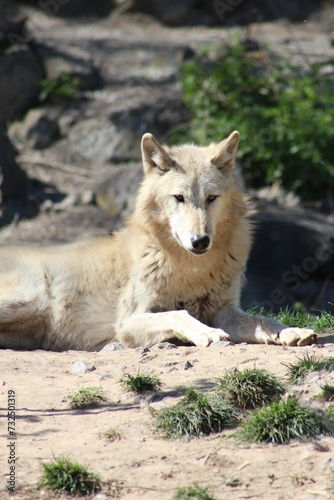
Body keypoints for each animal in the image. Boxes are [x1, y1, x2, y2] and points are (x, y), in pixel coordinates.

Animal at [0, 132, 318, 352]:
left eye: (211, 198)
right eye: (179, 198)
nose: (200, 241)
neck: (190, 269)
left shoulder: (224, 310)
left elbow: (263, 320)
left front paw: (292, 331)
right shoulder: (128, 322)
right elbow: (177, 314)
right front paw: (207, 333)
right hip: (31, 298)